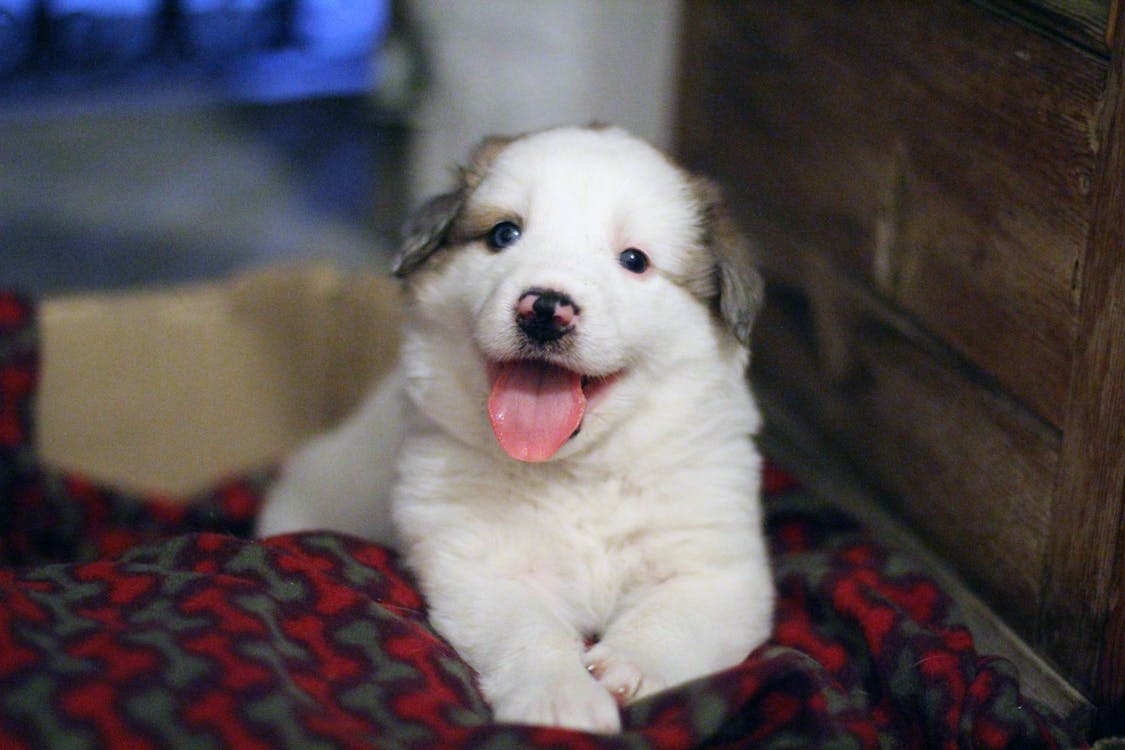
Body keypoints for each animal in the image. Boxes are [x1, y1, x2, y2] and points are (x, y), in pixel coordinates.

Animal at [258, 124, 778, 733]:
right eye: (504, 234)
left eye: (634, 260)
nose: (545, 308)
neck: (577, 475)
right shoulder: (482, 568)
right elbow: (531, 631)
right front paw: (561, 700)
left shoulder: (720, 568)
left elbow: (675, 617)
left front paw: (627, 668)